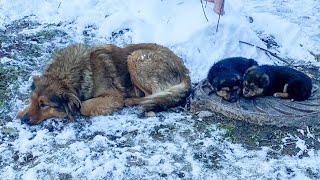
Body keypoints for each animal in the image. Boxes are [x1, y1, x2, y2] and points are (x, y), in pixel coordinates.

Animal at [17, 43, 191, 125]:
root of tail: (185, 70)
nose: (23, 120)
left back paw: (131, 101)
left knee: (151, 94)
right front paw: (21, 111)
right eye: (33, 100)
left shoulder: (113, 96)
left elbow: (84, 106)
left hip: (136, 58)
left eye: (44, 104)